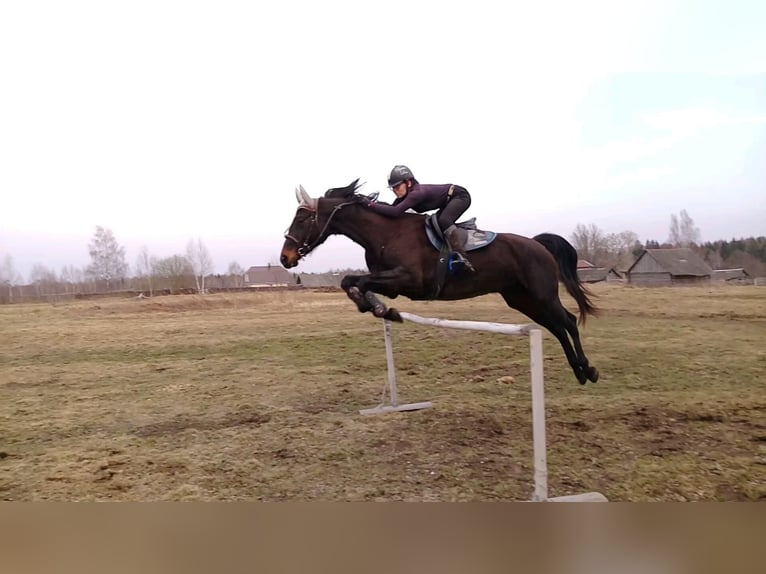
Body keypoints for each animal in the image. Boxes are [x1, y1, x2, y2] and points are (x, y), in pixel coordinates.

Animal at [280, 180, 604, 388]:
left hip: (542, 294)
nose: (286, 257)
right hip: (522, 299)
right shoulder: (394, 284)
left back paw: (588, 369)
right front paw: (379, 309)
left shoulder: (410, 280)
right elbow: (354, 282)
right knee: (556, 327)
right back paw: (578, 370)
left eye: (302, 218)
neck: (384, 233)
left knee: (568, 321)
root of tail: (538, 244)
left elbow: (354, 280)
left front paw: (378, 308)